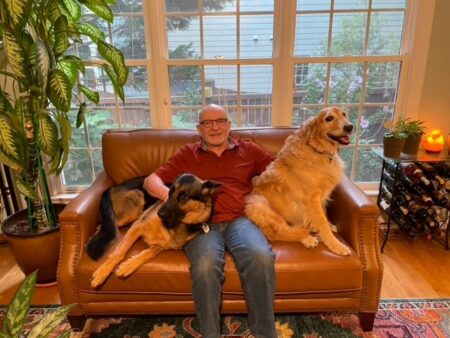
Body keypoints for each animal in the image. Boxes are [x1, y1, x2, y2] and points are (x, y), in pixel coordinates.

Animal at [89, 174, 220, 288]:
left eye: (183, 196)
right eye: (169, 192)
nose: (159, 214)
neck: (178, 223)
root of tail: (112, 187)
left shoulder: (160, 245)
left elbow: (146, 254)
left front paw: (128, 266)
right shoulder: (138, 226)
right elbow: (119, 252)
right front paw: (102, 272)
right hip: (135, 205)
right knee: (107, 225)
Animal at [246, 108, 356, 256]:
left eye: (344, 114)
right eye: (329, 118)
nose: (349, 127)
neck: (317, 150)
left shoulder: (320, 198)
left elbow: (323, 215)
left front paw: (326, 226)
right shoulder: (312, 198)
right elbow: (322, 222)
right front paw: (336, 245)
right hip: (259, 204)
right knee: (281, 232)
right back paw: (308, 238)